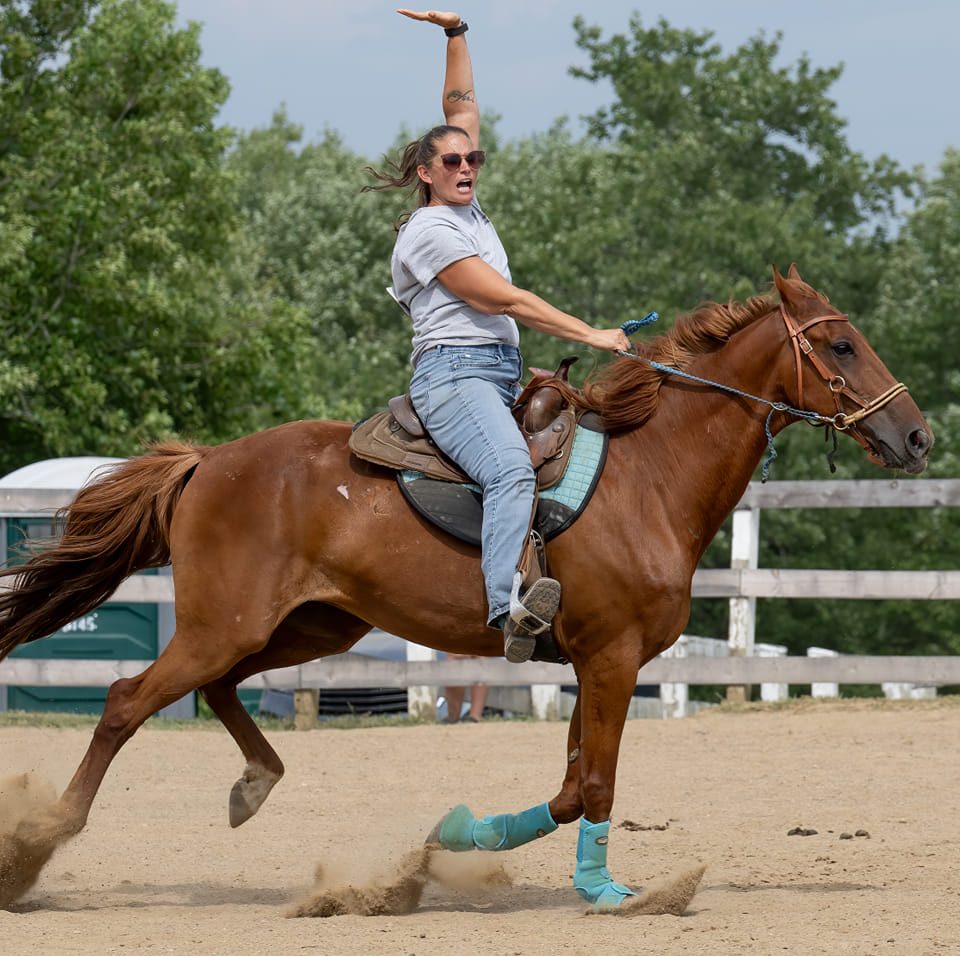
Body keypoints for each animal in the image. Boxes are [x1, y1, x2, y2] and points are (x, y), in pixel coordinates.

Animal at [0, 266, 932, 910]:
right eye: (841, 345)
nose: (918, 435)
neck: (650, 476)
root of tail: (206, 462)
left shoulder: (592, 664)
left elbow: (570, 786)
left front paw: (452, 840)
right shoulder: (614, 660)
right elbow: (596, 785)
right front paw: (607, 894)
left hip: (306, 626)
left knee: (220, 690)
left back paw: (254, 782)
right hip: (222, 626)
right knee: (125, 700)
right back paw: (40, 843)